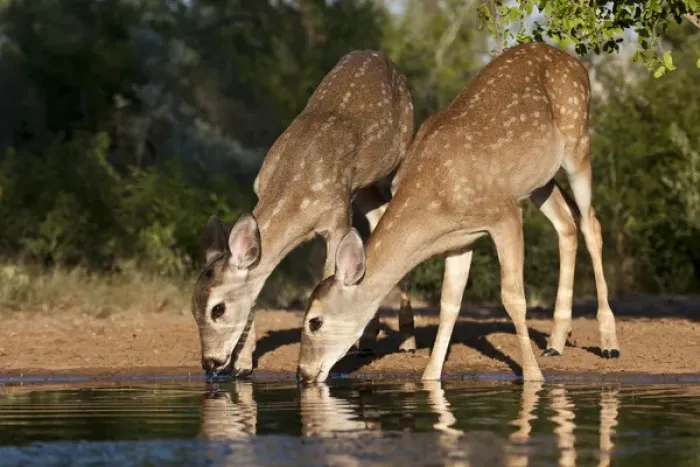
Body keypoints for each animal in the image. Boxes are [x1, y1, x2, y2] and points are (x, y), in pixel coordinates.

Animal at [191, 50, 418, 377]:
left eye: (217, 309)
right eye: (192, 307)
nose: (209, 362)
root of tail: (381, 56)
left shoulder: (337, 216)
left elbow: (328, 278)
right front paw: (243, 364)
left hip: (394, 158)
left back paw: (407, 339)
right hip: (362, 186)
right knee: (378, 220)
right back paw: (368, 339)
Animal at [297, 42, 620, 383]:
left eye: (314, 321)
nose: (303, 373)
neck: (434, 199)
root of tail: (575, 62)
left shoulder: (504, 214)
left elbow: (512, 297)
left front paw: (534, 377)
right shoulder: (462, 238)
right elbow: (448, 304)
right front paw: (430, 377)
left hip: (578, 138)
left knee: (590, 223)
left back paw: (608, 342)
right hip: (538, 180)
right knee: (566, 223)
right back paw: (556, 342)